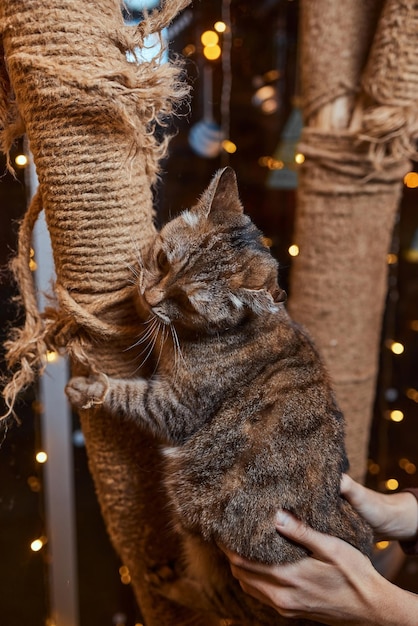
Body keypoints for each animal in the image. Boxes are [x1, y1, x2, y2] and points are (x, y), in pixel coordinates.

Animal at [65, 167, 372, 624]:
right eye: (163, 261)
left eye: (186, 300)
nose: (153, 297)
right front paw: (131, 294)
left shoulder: (177, 406)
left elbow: (129, 394)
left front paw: (89, 386)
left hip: (202, 522)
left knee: (218, 599)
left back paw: (170, 583)